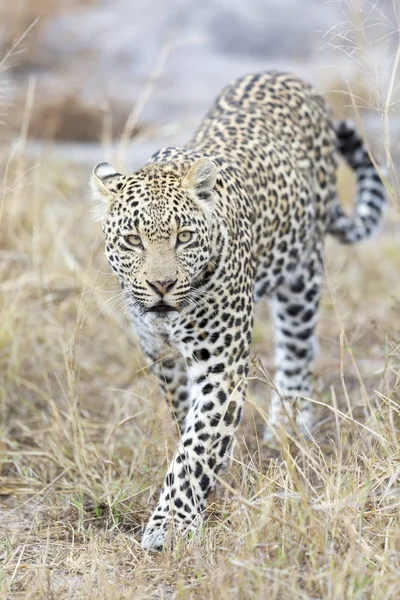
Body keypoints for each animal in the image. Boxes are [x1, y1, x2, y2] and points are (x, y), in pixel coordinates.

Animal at [90, 71, 384, 552]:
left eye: (184, 237)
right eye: (133, 240)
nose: (161, 286)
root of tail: (287, 76)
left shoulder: (221, 366)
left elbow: (193, 451)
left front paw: (170, 526)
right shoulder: (163, 358)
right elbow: (188, 423)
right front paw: (210, 473)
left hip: (302, 275)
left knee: (297, 351)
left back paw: (289, 426)